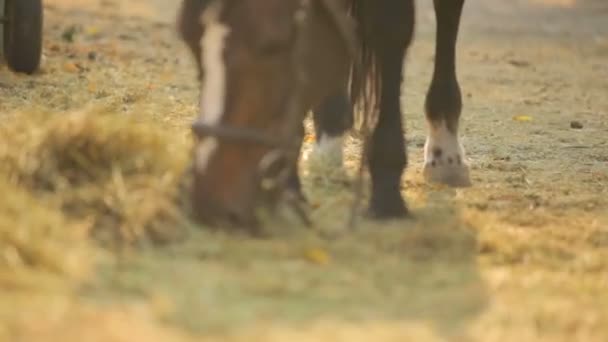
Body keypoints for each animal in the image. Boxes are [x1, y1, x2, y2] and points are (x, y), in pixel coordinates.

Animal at [178, 0, 468, 230]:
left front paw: (387, 194)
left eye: (271, 45)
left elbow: (391, 28)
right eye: (187, 37)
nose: (210, 200)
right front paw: (290, 189)